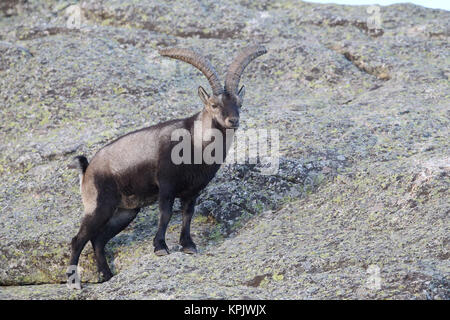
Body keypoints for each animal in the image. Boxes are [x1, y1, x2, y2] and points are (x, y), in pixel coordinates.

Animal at [67, 45, 268, 282]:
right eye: (214, 104)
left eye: (239, 103)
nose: (233, 121)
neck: (196, 143)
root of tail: (87, 169)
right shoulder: (166, 185)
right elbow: (165, 214)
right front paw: (160, 247)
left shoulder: (193, 191)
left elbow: (187, 215)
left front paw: (188, 245)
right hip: (99, 205)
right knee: (79, 239)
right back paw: (74, 281)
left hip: (125, 211)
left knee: (99, 239)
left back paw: (106, 275)